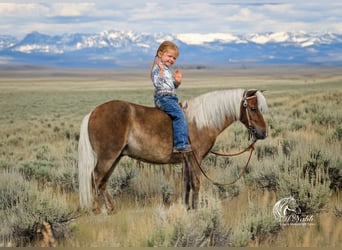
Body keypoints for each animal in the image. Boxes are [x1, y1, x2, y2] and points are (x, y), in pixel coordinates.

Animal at [77, 88, 268, 213]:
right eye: (253, 108)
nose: (263, 132)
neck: (202, 121)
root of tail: (92, 113)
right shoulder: (195, 158)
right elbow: (195, 183)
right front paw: (196, 209)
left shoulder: (187, 160)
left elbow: (187, 183)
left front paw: (188, 207)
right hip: (108, 157)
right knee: (95, 177)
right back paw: (95, 209)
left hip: (115, 157)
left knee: (103, 181)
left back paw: (111, 208)